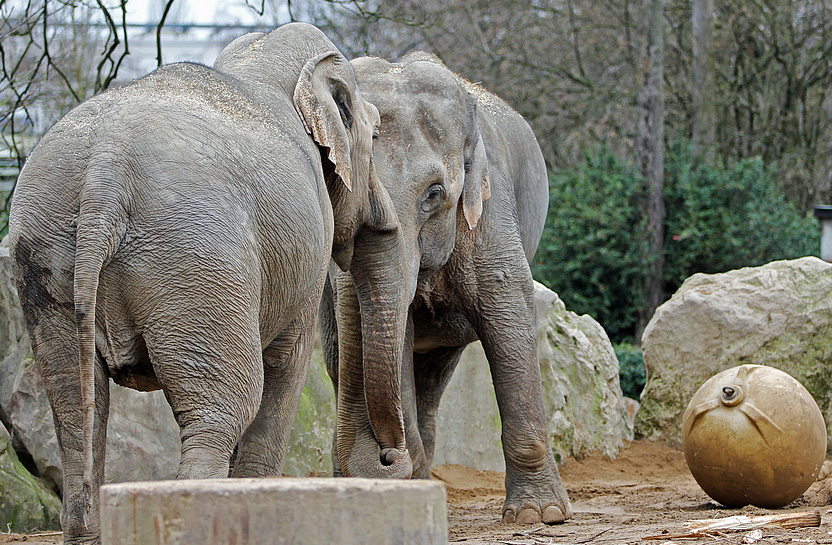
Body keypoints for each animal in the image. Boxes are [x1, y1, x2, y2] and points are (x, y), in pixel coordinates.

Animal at [7, 22, 400, 544]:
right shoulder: (306, 252)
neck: (260, 62)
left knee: (75, 406)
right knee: (224, 406)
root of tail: (104, 173)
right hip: (197, 258)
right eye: (375, 133)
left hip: (49, 251)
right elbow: (285, 366)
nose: (389, 458)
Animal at [322, 53, 576, 524]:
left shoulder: (491, 212)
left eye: (434, 194)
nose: (386, 457)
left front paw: (540, 515)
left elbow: (510, 316)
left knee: (435, 379)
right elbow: (395, 346)